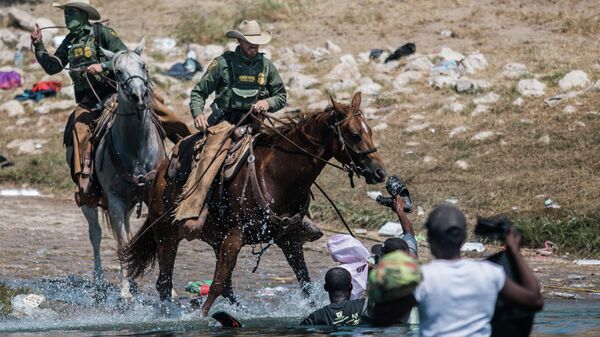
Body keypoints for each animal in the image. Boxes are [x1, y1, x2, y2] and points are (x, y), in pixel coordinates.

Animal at [123, 90, 384, 314]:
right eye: (355, 135)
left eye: (370, 131)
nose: (379, 172)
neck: (277, 175)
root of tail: (161, 171)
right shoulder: (236, 236)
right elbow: (217, 283)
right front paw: (202, 317)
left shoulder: (288, 239)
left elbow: (305, 282)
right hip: (166, 235)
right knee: (165, 282)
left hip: (215, 238)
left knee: (225, 287)